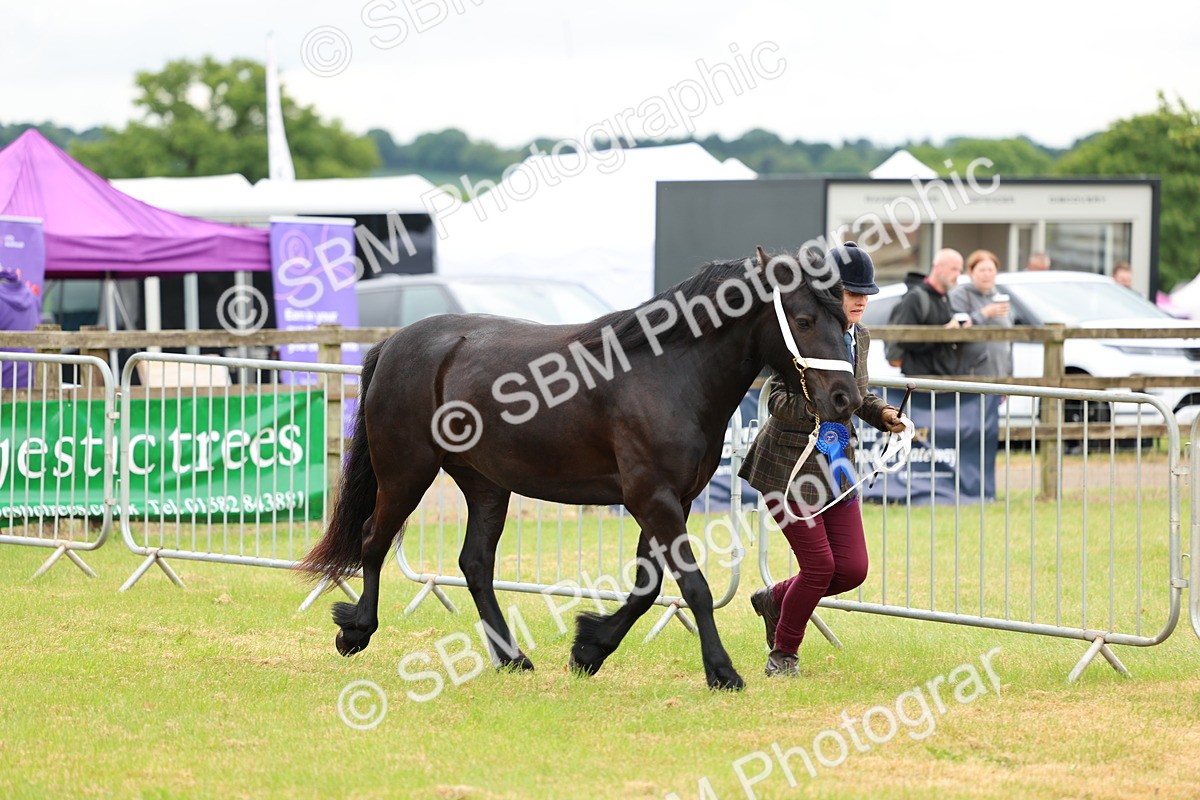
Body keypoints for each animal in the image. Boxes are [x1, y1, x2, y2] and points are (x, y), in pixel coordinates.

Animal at [300, 247, 860, 689]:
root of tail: (394, 344)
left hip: (485, 484)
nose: (845, 399)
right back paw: (356, 631)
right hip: (406, 473)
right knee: (373, 540)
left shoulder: (669, 500)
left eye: (844, 320)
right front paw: (722, 672)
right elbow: (693, 586)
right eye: (804, 320)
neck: (668, 372)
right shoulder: (651, 498)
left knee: (475, 564)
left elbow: (647, 587)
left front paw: (589, 649)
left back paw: (512, 657)